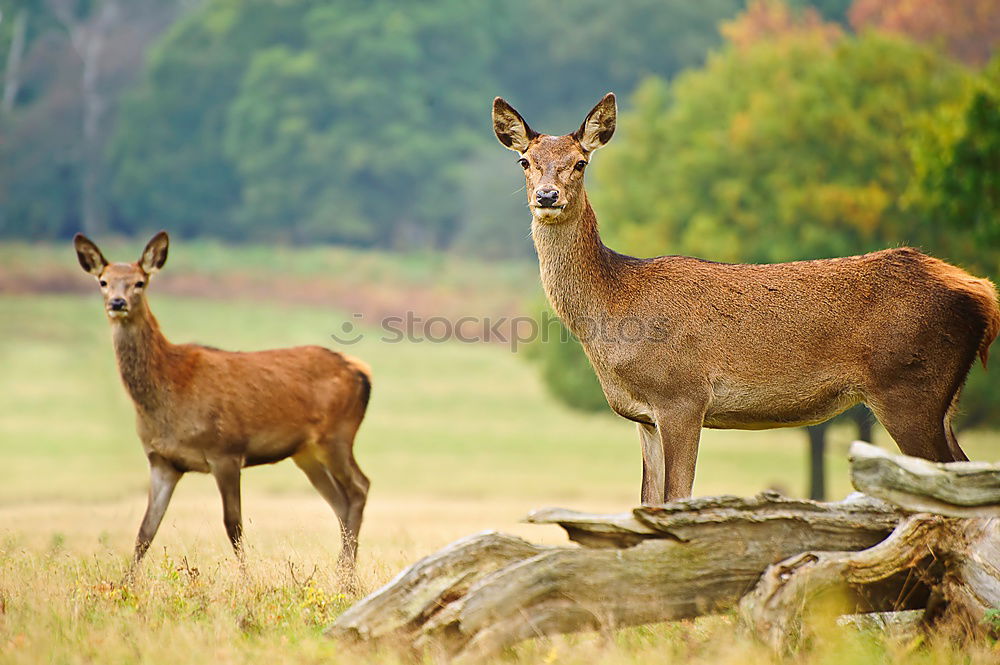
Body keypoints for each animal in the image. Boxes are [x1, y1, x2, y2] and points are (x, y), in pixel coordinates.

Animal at [73, 232, 372, 572]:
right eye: (103, 281)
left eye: (139, 282)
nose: (117, 303)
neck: (169, 391)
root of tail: (361, 372)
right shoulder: (161, 460)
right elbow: (145, 531)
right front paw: (125, 583)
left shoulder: (226, 450)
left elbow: (234, 526)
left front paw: (248, 579)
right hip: (306, 452)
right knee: (340, 503)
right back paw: (344, 573)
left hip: (337, 435)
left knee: (359, 488)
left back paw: (347, 573)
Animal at [492, 92, 1000, 504]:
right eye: (525, 161)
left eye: (581, 161)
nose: (547, 196)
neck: (613, 310)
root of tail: (984, 294)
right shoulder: (643, 417)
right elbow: (646, 503)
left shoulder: (683, 395)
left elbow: (677, 498)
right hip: (940, 397)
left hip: (908, 387)